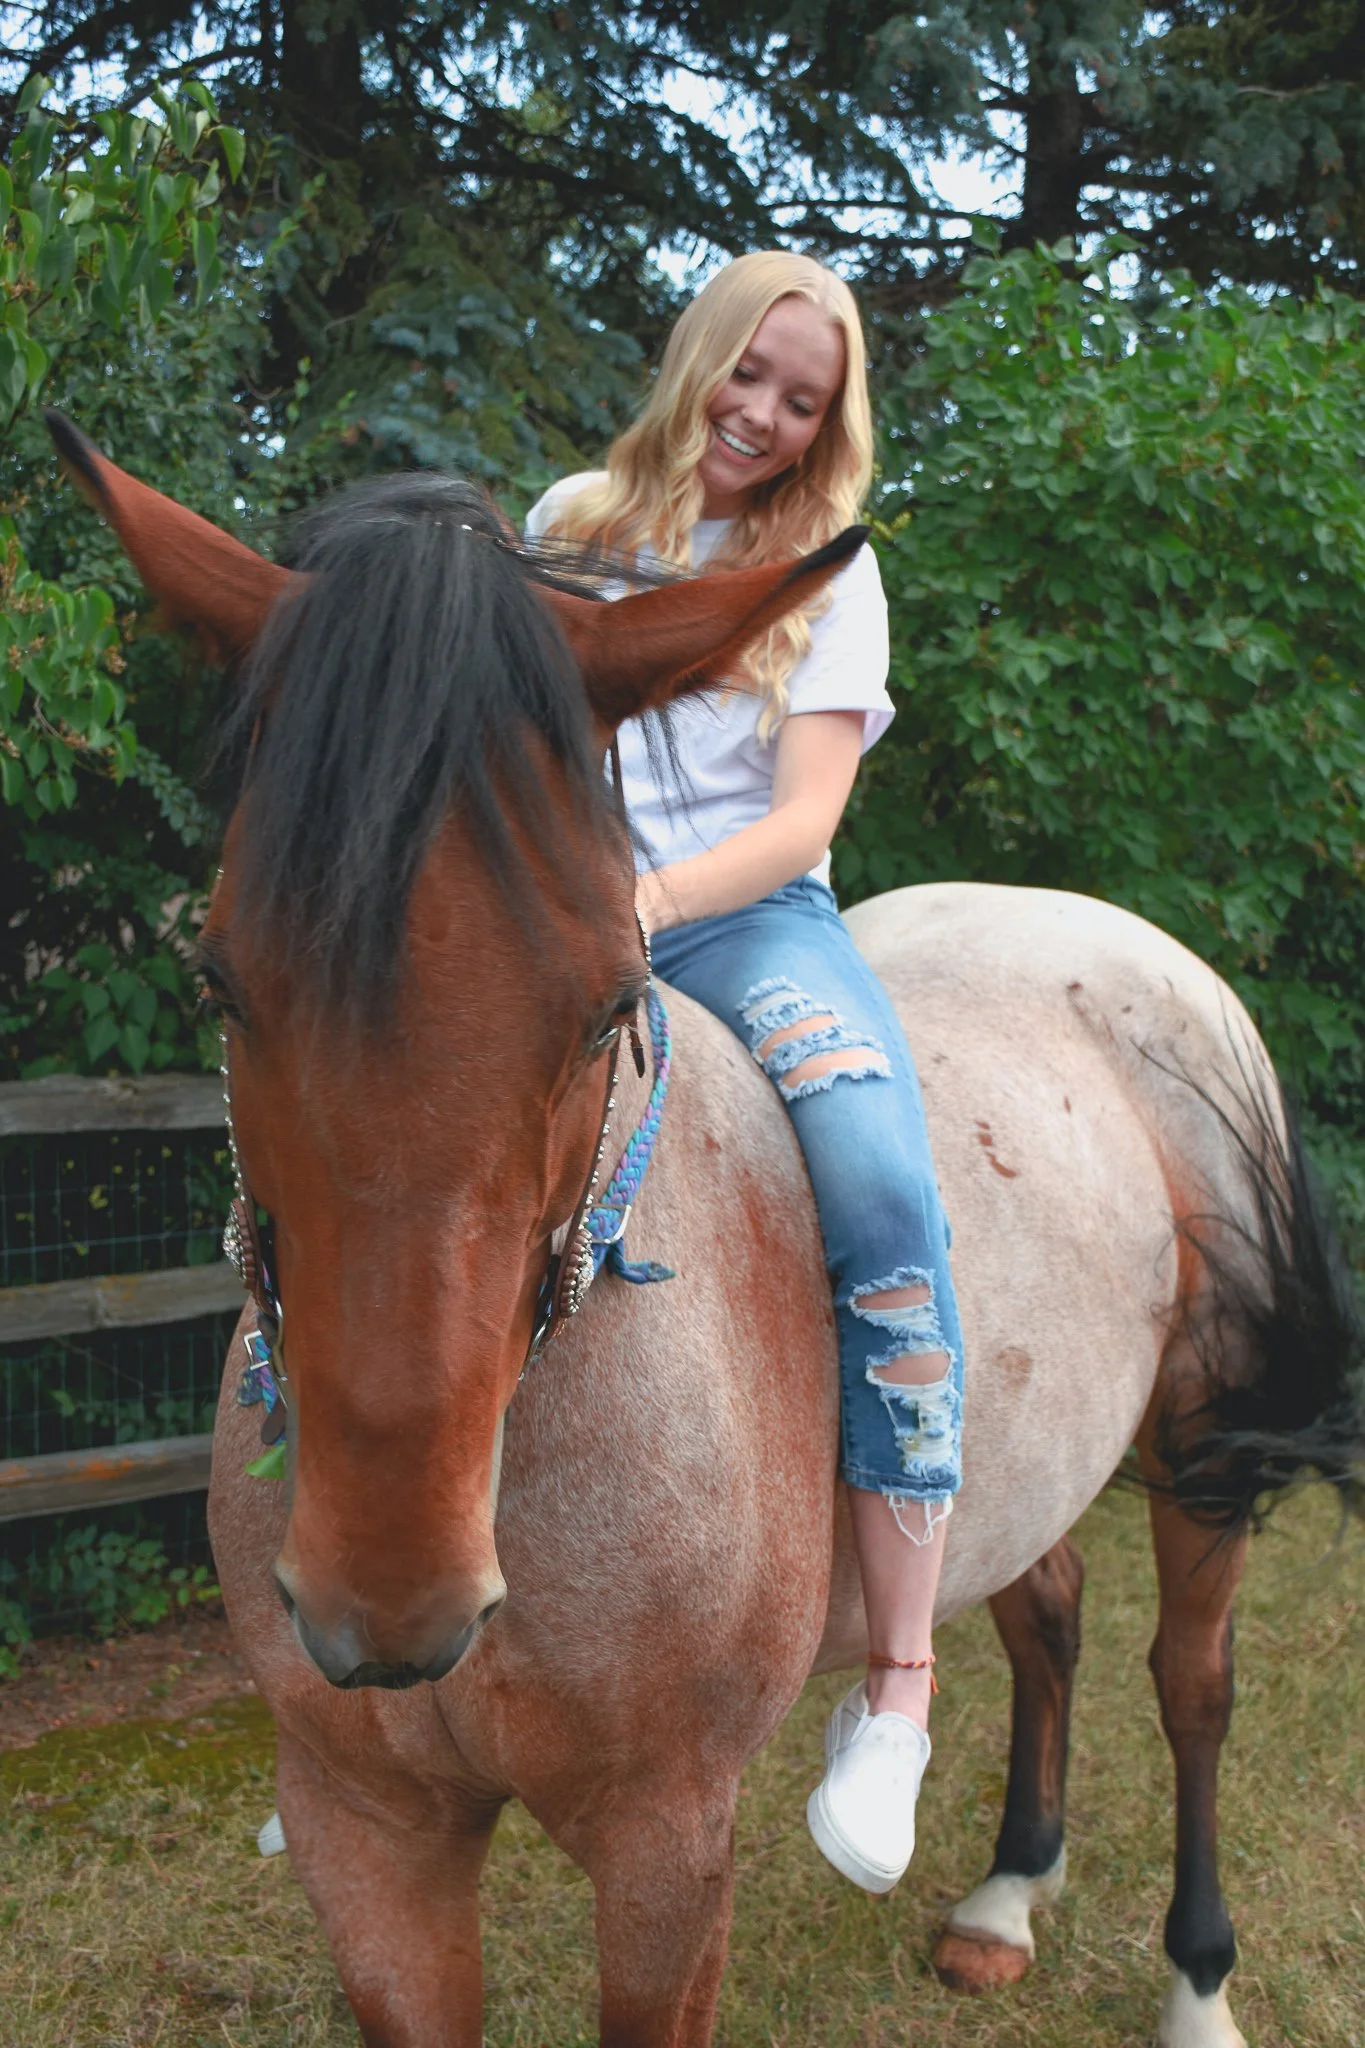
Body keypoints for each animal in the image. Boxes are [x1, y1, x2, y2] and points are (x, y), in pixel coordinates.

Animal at [47, 409, 1364, 2048]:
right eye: (221, 983)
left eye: (609, 1000)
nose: (386, 1599)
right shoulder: (369, 1832)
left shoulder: (665, 1842)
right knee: (1042, 1609)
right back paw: (1005, 1893)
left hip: (1199, 1435)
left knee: (1192, 1681)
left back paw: (1193, 1981)